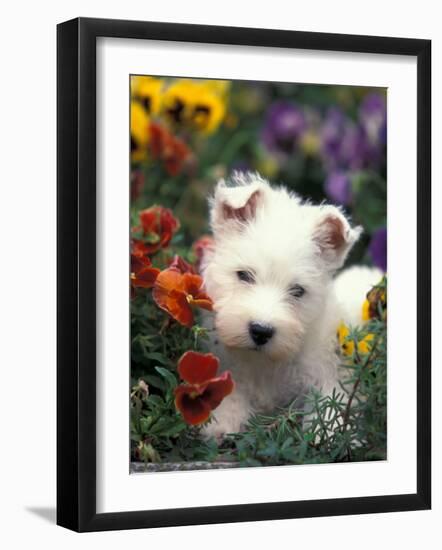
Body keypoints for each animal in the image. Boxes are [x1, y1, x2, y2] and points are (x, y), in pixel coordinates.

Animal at [202, 175, 382, 442]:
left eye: (297, 291)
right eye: (244, 275)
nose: (261, 331)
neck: (266, 363)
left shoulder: (326, 377)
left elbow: (328, 404)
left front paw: (329, 435)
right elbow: (231, 389)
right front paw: (221, 421)